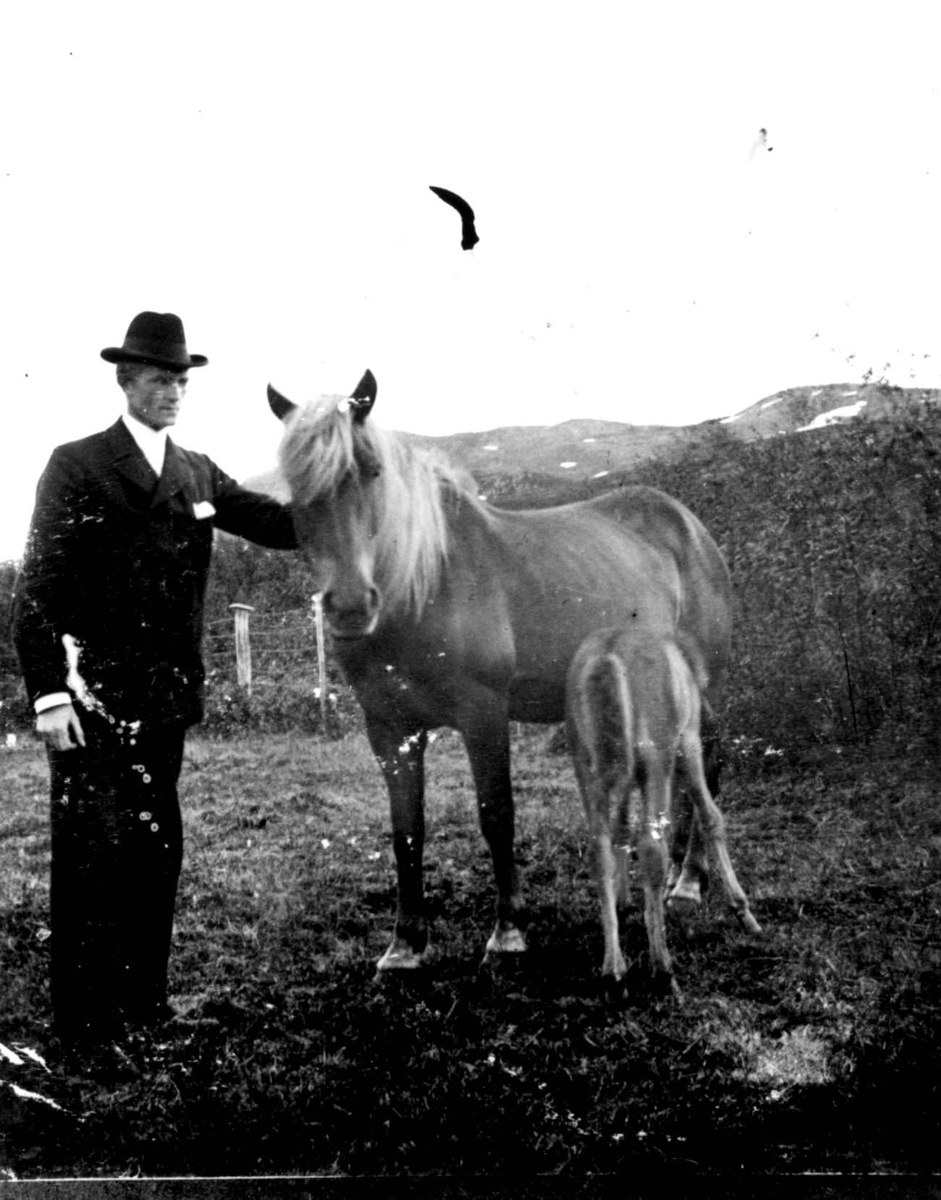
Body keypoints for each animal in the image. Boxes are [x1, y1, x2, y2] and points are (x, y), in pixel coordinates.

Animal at [268, 369, 729, 969]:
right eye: (295, 487)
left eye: (372, 471)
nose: (349, 606)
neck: (426, 584)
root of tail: (688, 525)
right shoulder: (389, 728)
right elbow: (406, 830)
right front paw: (405, 943)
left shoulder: (483, 715)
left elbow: (496, 814)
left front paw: (508, 931)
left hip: (700, 684)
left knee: (707, 760)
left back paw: (690, 882)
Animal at [566, 624, 758, 998]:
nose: (717, 733)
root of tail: (608, 654)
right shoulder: (687, 747)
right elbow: (711, 817)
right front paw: (743, 911)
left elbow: (621, 829)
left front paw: (624, 901)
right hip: (658, 759)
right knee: (652, 846)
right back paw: (662, 968)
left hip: (587, 766)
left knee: (599, 850)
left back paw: (613, 967)